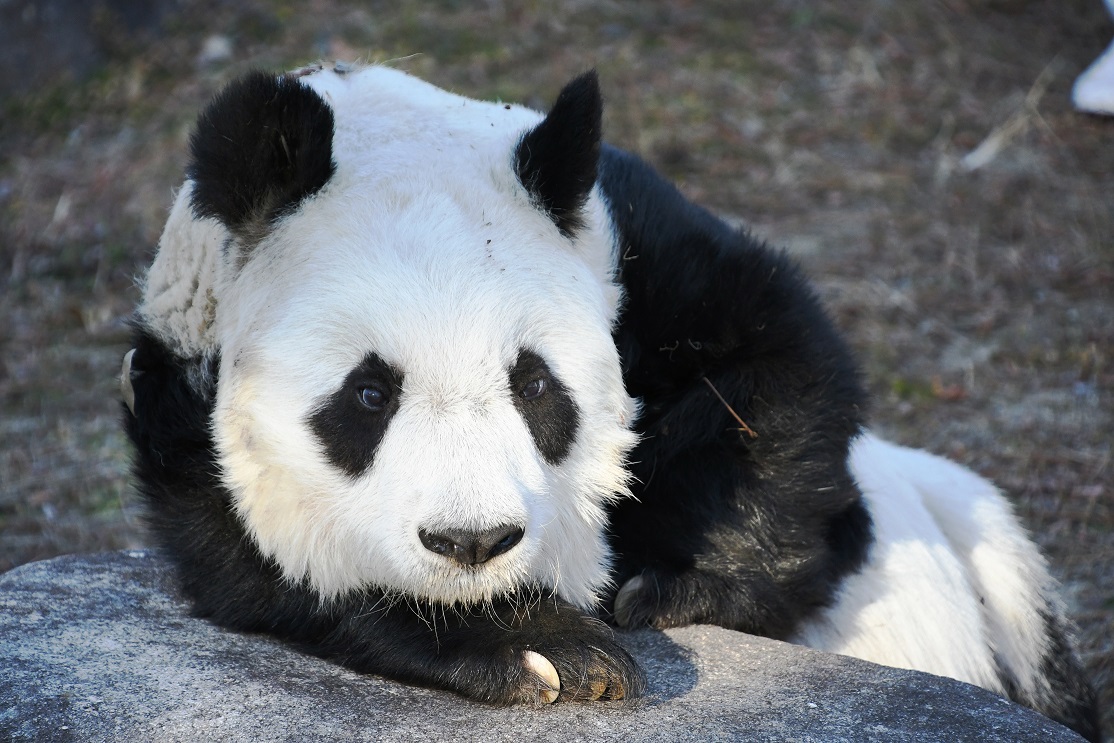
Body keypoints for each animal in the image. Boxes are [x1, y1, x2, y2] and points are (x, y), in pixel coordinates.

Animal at [119, 62, 1096, 739]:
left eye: (534, 383)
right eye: (368, 393)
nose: (474, 541)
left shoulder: (634, 240)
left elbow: (780, 363)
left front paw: (685, 586)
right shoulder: (177, 408)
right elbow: (272, 569)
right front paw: (539, 644)